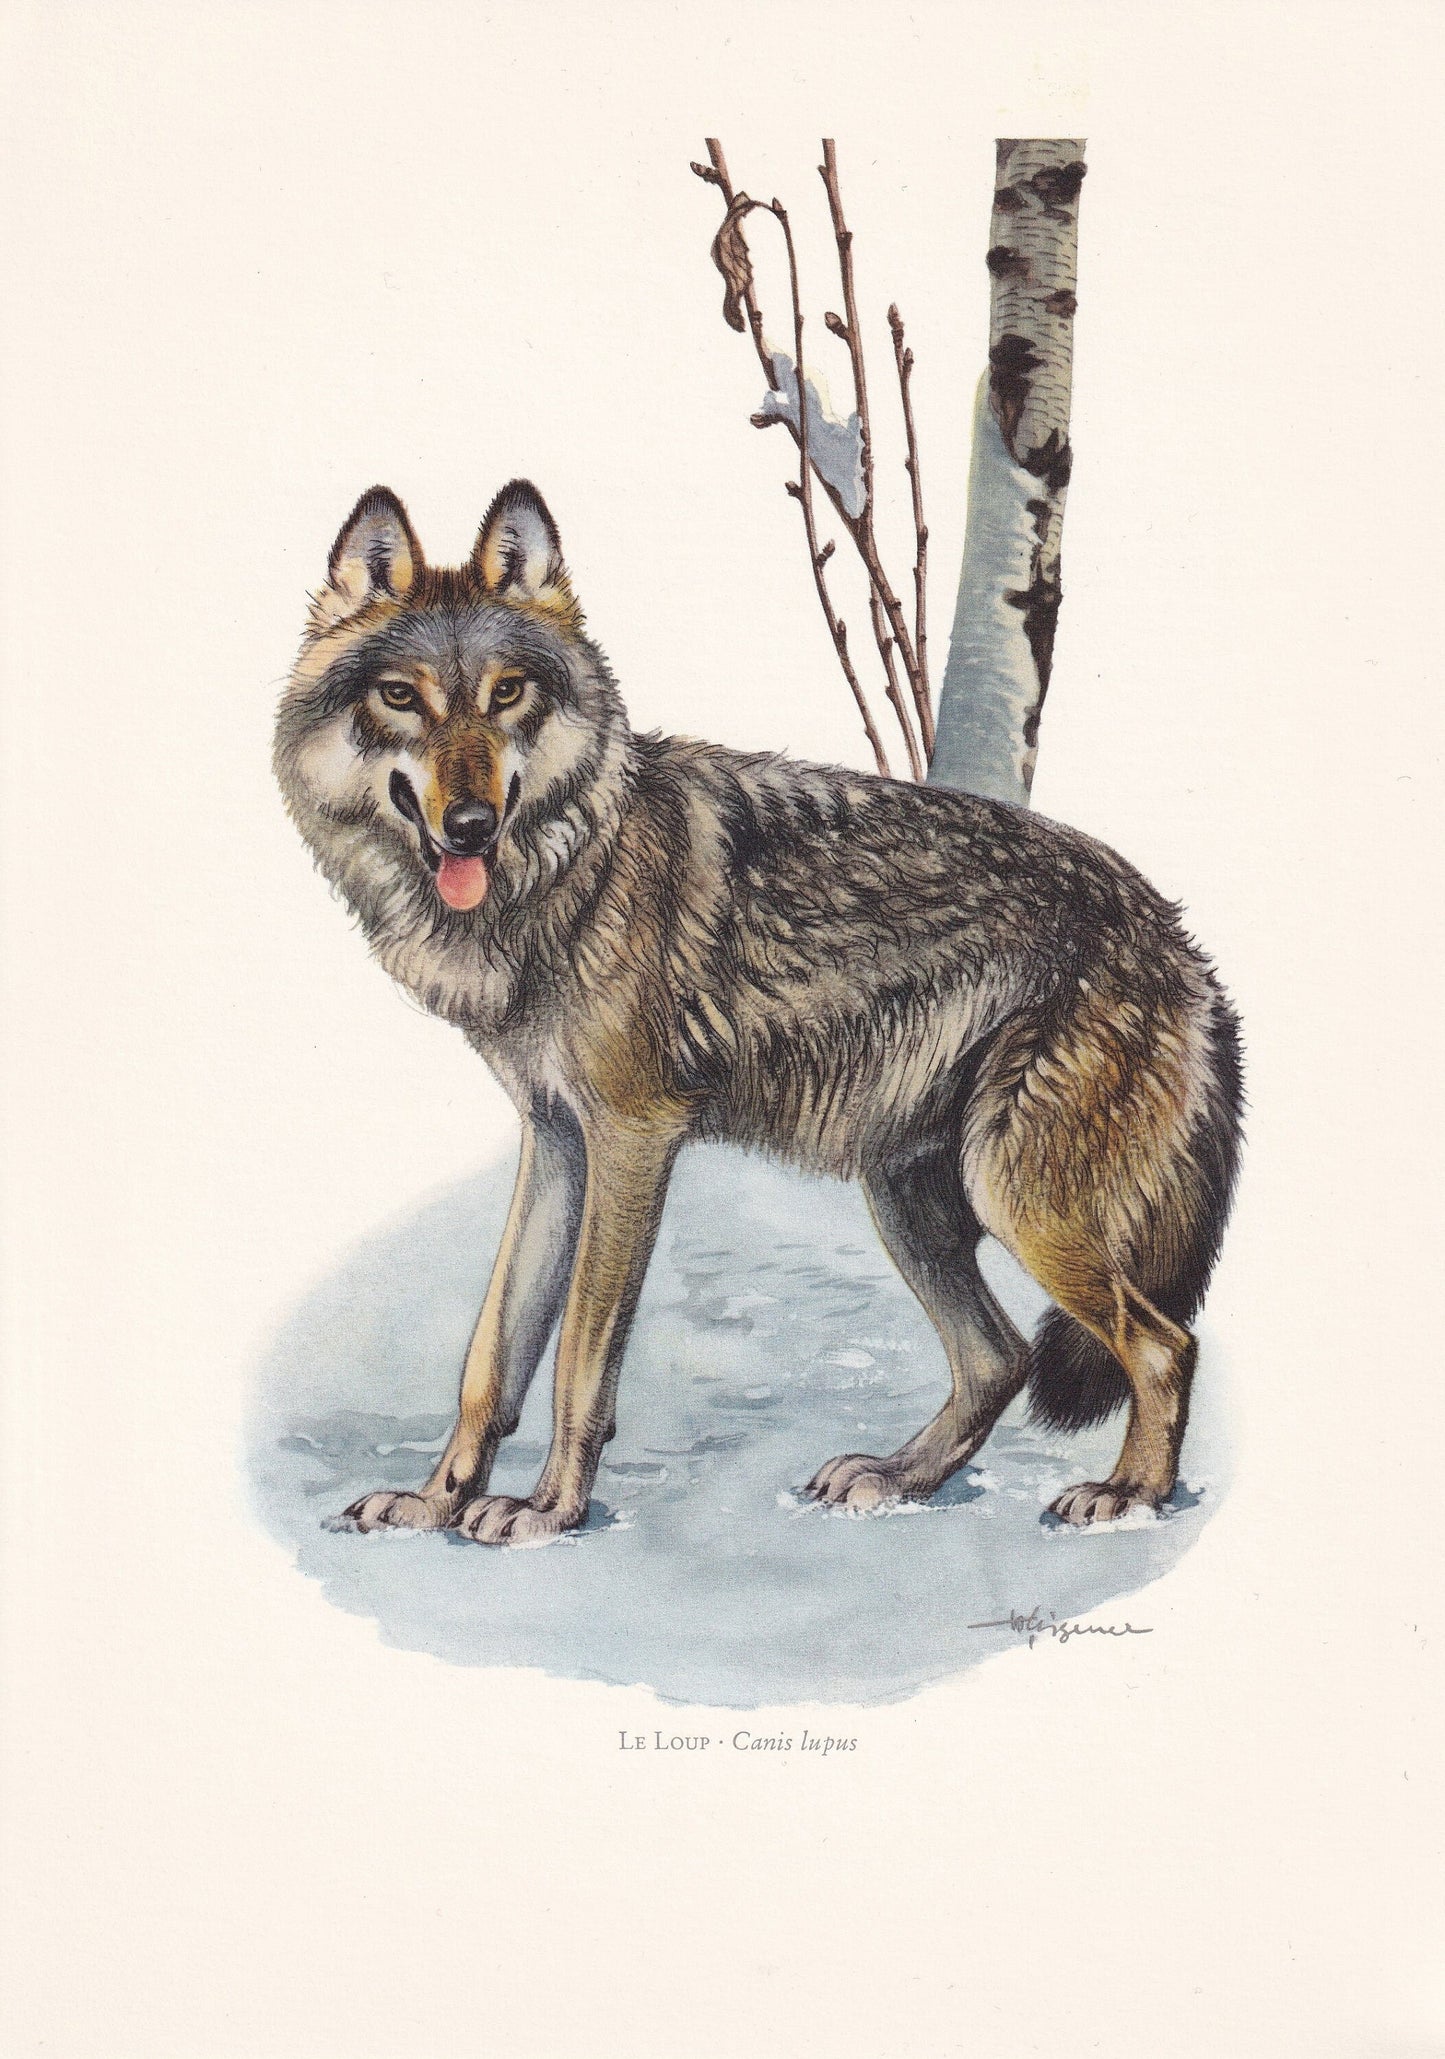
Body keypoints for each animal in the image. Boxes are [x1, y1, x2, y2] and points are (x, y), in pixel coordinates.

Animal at [274, 480, 1243, 1547]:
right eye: (401, 697)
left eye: (507, 694)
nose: (472, 827)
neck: (569, 870)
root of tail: (1178, 939)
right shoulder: (556, 1138)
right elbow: (493, 1355)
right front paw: (434, 1502)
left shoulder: (633, 1136)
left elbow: (578, 1355)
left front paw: (548, 1508)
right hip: (908, 1194)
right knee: (1000, 1359)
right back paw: (896, 1477)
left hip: (1013, 1196)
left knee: (1161, 1344)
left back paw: (1127, 1496)